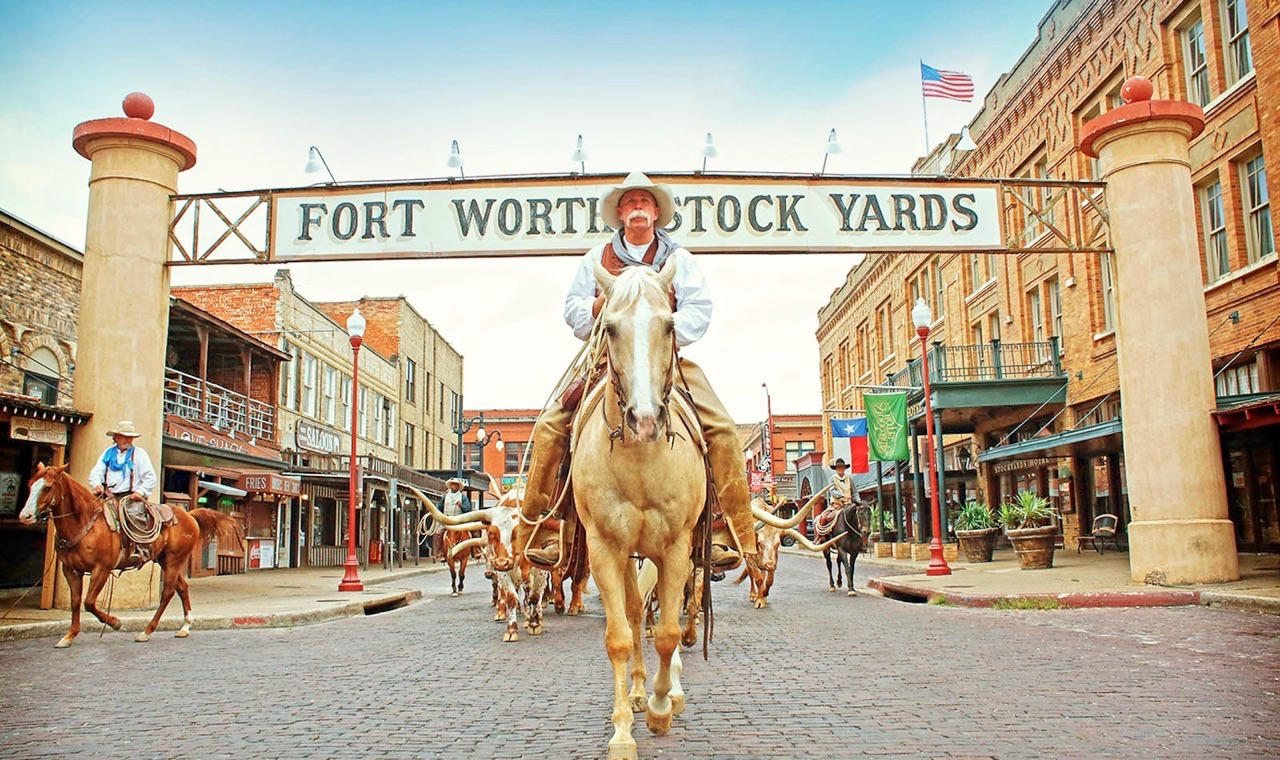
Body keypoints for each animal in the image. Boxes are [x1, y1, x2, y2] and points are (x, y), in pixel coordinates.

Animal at [18, 460, 243, 644]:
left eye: (47, 487)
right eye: (30, 485)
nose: (25, 516)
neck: (85, 522)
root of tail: (189, 515)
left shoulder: (101, 569)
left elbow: (89, 602)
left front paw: (115, 622)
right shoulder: (71, 570)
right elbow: (75, 602)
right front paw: (69, 635)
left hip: (173, 560)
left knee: (168, 592)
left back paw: (147, 631)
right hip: (165, 560)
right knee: (182, 587)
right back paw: (185, 626)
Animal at [573, 257, 711, 752]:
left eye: (670, 325)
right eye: (609, 328)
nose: (645, 419)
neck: (640, 460)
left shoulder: (676, 547)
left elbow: (668, 633)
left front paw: (661, 707)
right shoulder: (604, 548)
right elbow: (620, 635)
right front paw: (622, 731)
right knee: (634, 614)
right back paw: (636, 689)